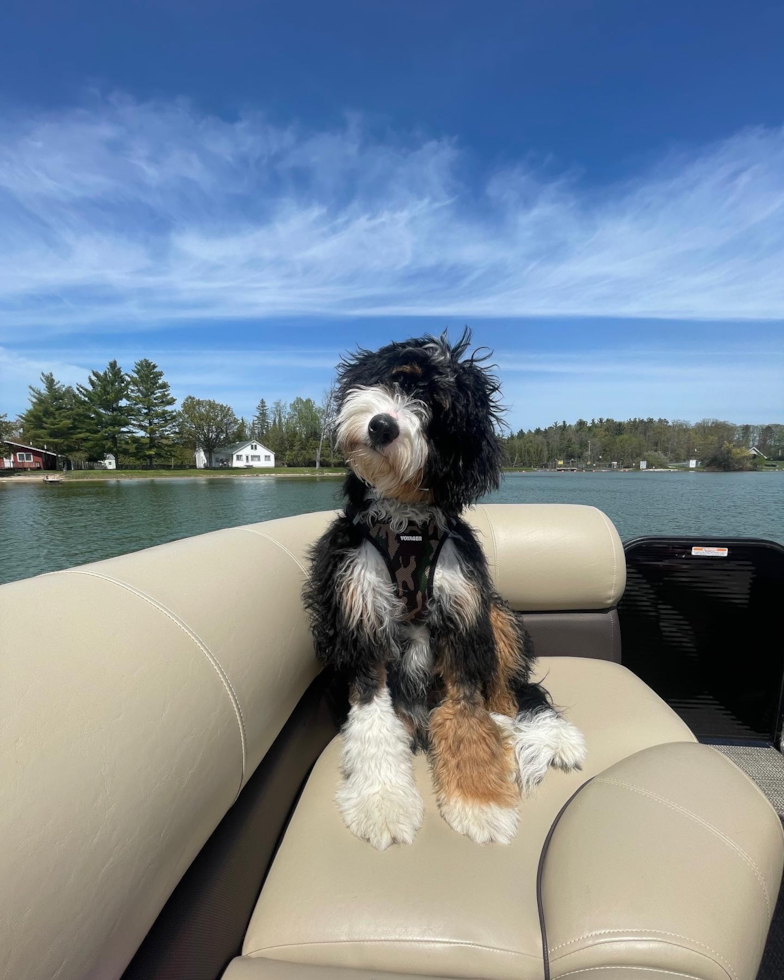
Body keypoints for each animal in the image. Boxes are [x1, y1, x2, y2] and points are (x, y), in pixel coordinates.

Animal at [304, 332, 584, 848]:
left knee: (510, 697)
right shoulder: (361, 617)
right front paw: (383, 803)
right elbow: (374, 719)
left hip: (493, 613)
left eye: (436, 410)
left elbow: (468, 716)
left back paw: (532, 733)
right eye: (399, 379)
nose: (382, 426)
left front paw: (481, 803)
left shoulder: (462, 615)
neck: (406, 522)